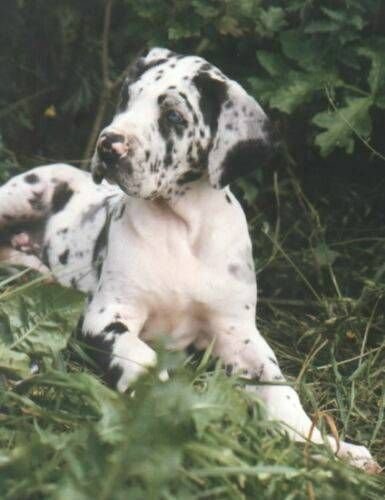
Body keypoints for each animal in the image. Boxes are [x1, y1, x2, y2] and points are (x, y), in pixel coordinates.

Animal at [0, 47, 378, 472]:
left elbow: (280, 389)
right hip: (18, 195)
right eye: (125, 99)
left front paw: (330, 446)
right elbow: (142, 356)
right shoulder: (105, 316)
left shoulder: (238, 334)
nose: (109, 145)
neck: (179, 226)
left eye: (174, 117)